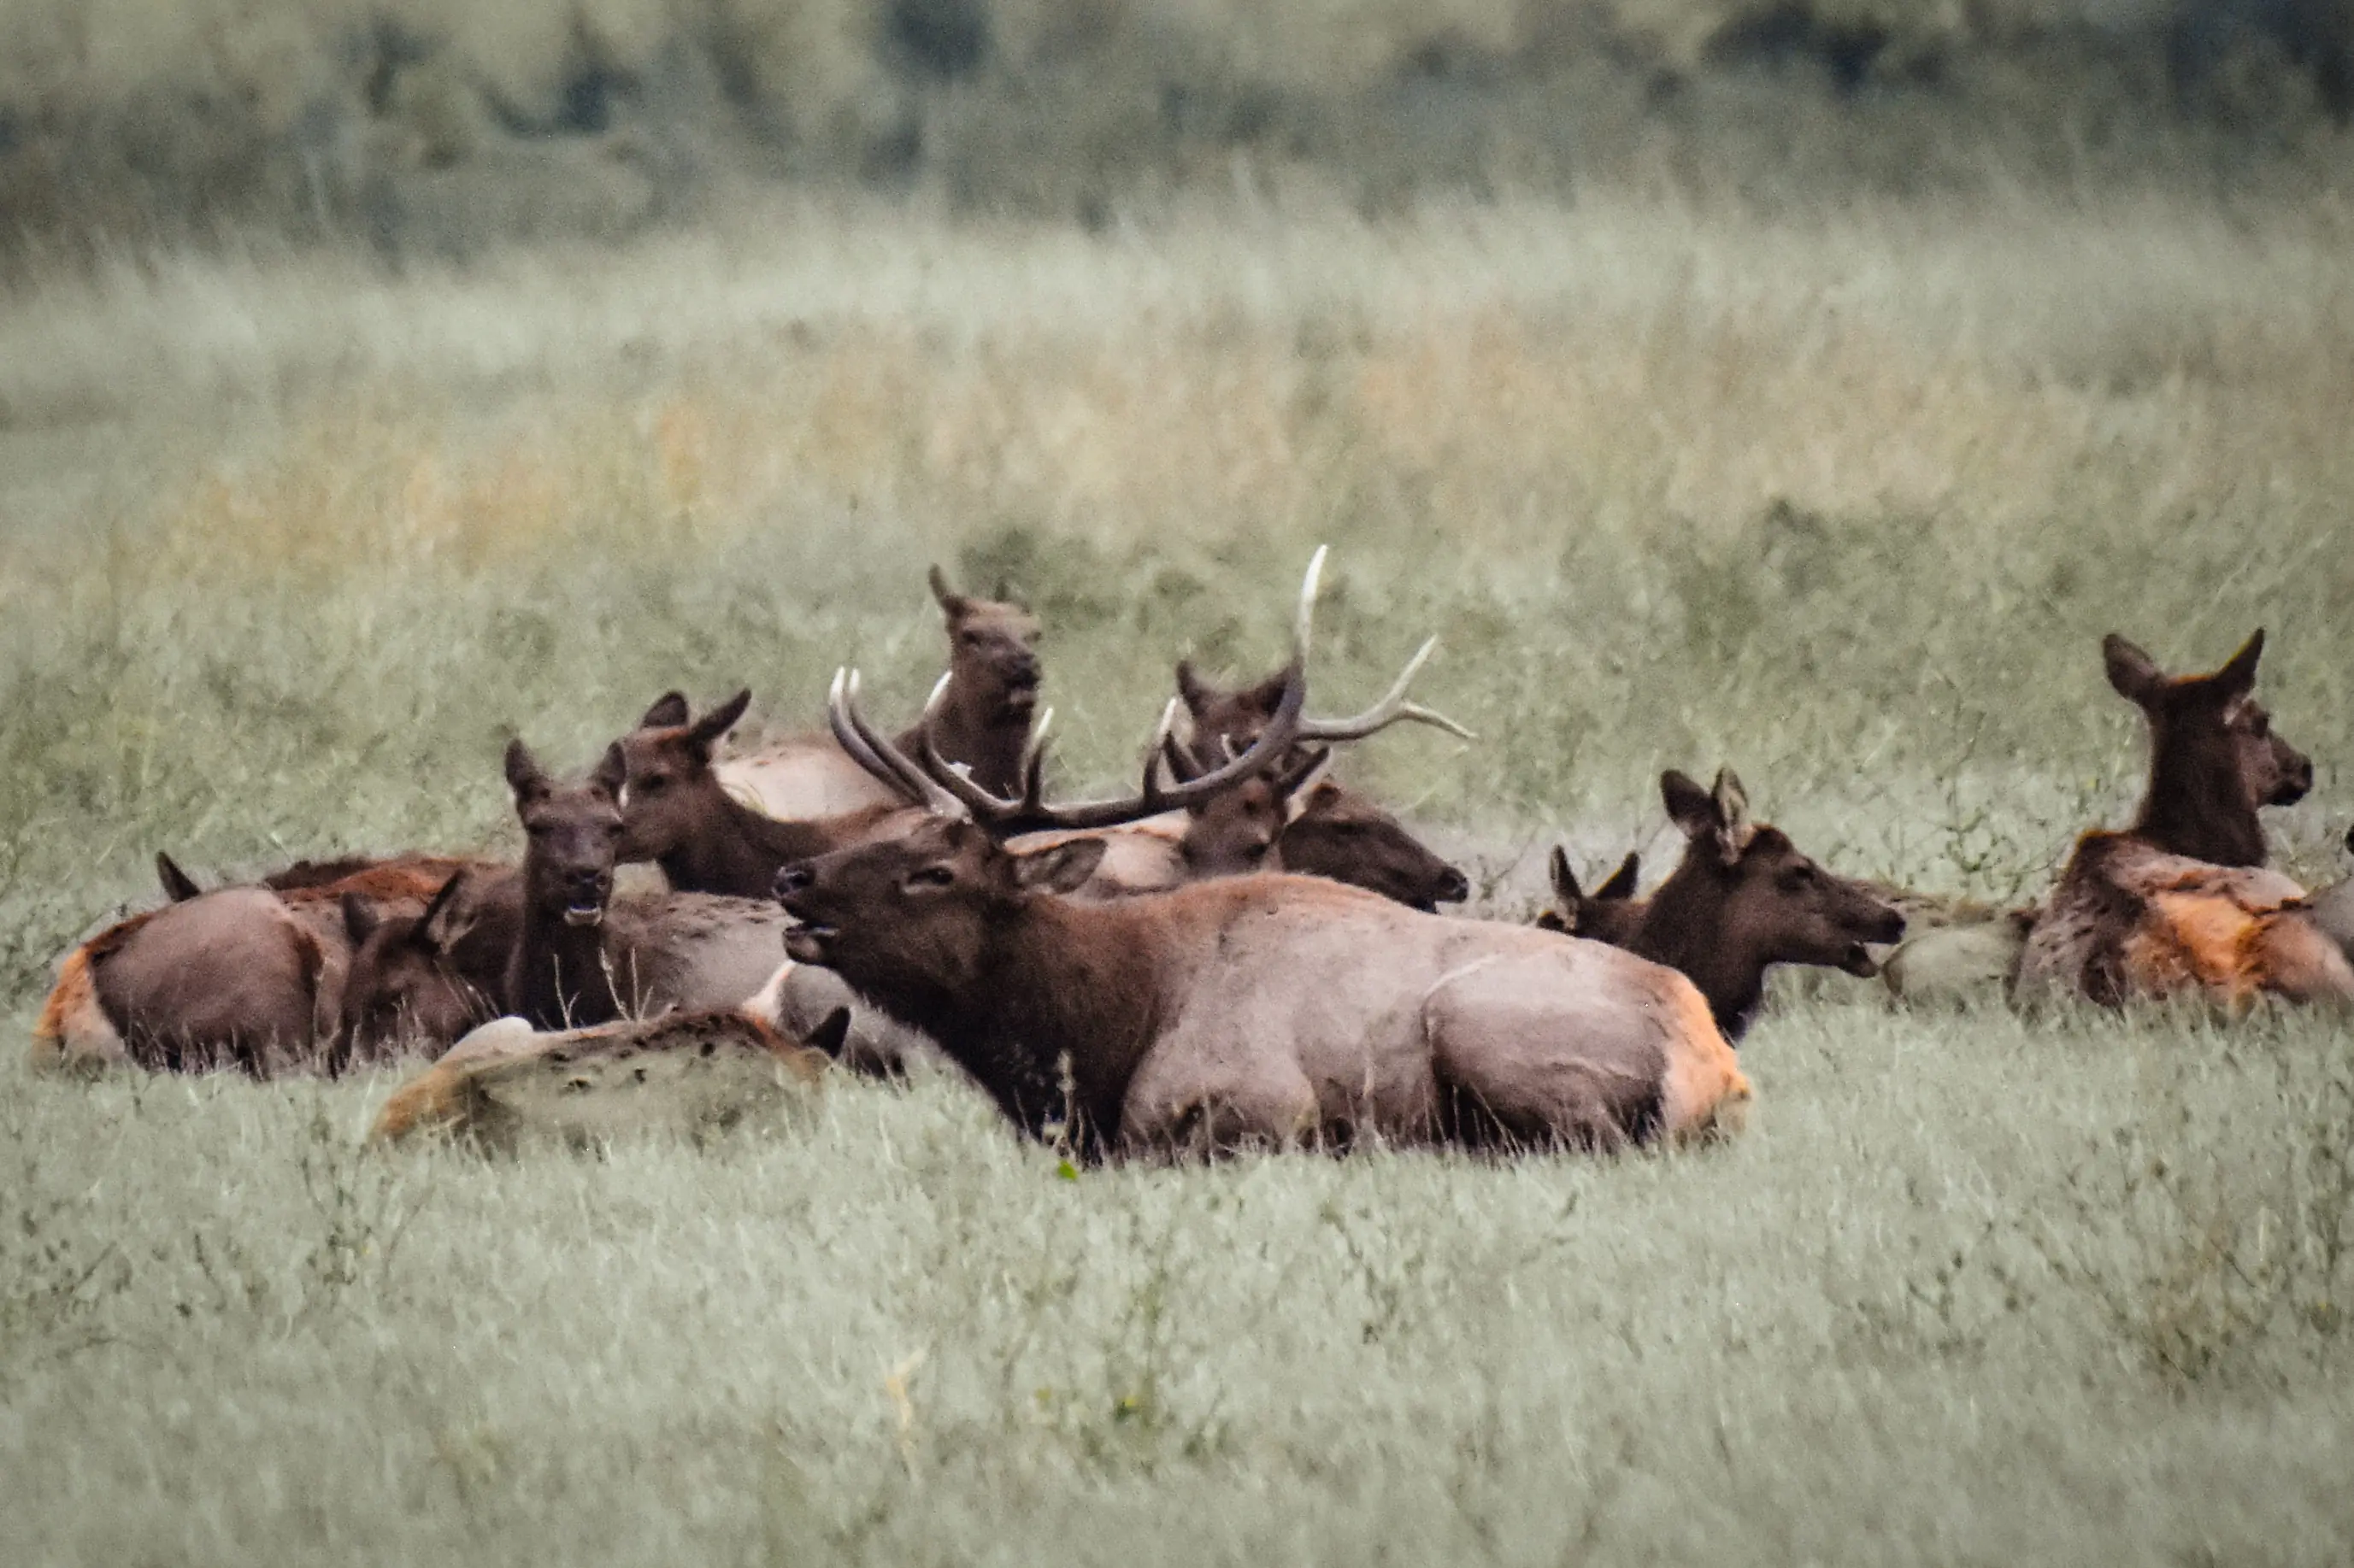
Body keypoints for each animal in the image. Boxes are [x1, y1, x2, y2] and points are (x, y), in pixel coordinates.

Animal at [774, 551, 1750, 1161]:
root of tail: (1716, 1064)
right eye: (886, 836)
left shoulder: (1257, 1106)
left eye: (935, 873)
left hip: (1484, 1025)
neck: (1100, 1031)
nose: (792, 879)